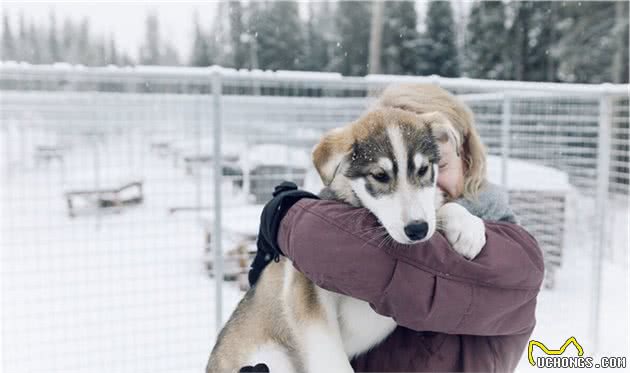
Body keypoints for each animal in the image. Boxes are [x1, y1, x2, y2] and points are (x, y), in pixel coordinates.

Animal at [207, 85, 488, 372]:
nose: (417, 230)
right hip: (271, 356)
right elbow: (333, 359)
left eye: (423, 170)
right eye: (380, 176)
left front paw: (467, 227)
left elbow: (440, 206)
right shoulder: (305, 291)